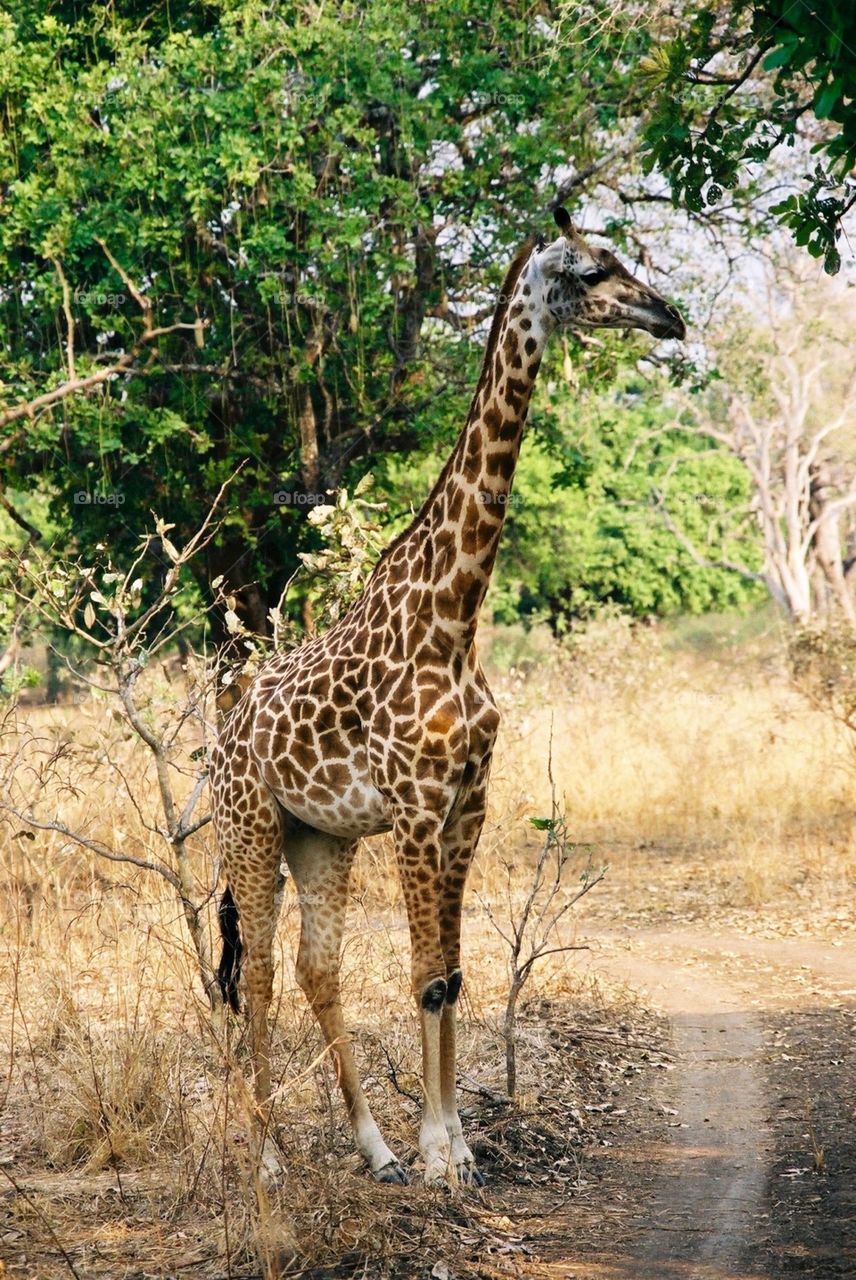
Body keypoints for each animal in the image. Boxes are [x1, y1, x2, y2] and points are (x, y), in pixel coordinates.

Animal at [209, 204, 685, 1182]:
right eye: (593, 269)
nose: (670, 318)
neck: (455, 615)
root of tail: (224, 732)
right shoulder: (418, 807)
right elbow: (427, 974)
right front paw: (440, 1156)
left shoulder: (469, 802)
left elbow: (456, 973)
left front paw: (450, 1146)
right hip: (251, 827)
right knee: (260, 974)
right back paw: (270, 1157)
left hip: (320, 837)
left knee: (315, 968)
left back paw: (373, 1149)